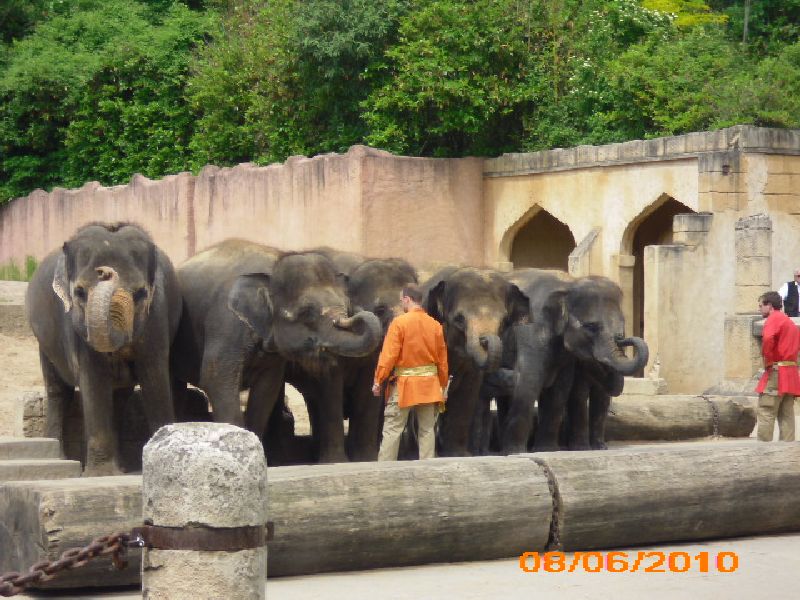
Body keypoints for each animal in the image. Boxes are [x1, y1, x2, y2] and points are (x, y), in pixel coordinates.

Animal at [26, 223, 181, 476]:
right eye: (79, 292)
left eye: (140, 293)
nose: (105, 272)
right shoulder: (77, 330)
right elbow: (94, 380)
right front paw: (100, 474)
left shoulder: (157, 314)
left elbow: (154, 376)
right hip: (45, 343)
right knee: (58, 390)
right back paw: (60, 458)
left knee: (119, 396)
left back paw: (122, 468)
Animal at [171, 240, 382, 464]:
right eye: (306, 312)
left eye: (345, 305)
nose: (356, 315)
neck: (274, 263)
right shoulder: (225, 323)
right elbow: (216, 378)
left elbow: (267, 389)